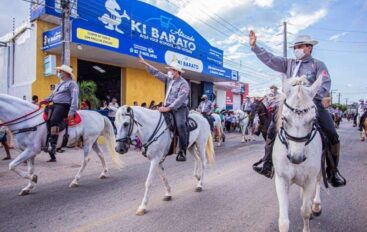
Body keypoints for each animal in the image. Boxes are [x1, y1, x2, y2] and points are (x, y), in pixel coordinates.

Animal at [274, 76, 324, 232]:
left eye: (313, 120)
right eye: (284, 119)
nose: (296, 158)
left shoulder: (310, 180)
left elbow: (305, 211)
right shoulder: (281, 180)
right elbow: (283, 221)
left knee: (319, 182)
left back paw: (316, 206)